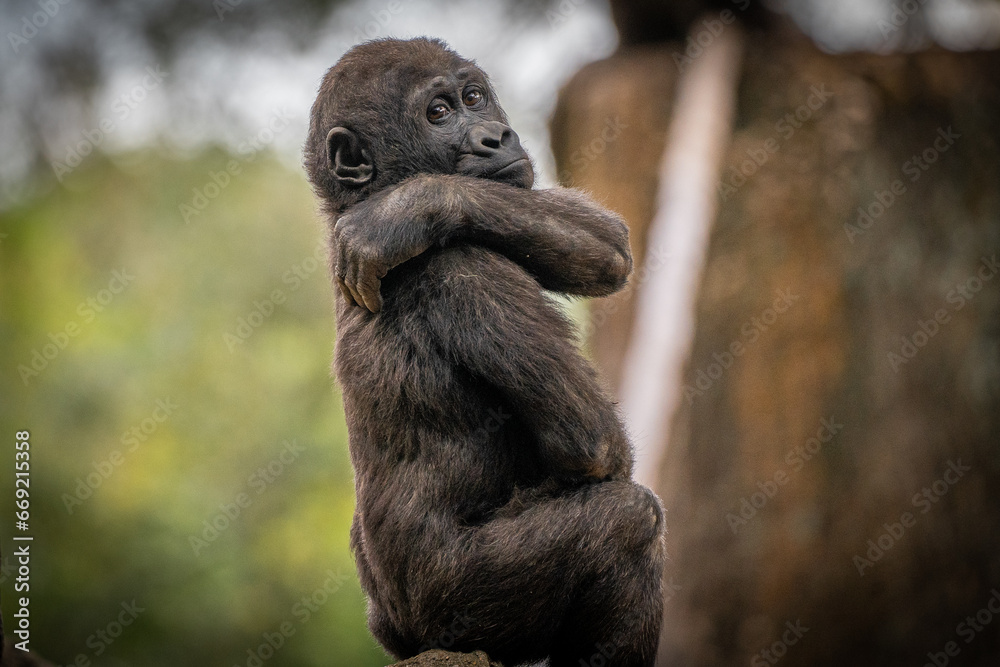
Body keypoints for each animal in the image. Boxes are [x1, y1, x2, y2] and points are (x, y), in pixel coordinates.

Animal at [304, 38, 665, 667]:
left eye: (474, 98)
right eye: (438, 113)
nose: (495, 135)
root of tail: (411, 637)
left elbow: (608, 243)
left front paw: (414, 207)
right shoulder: (467, 268)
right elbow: (593, 443)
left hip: (396, 628)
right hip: (461, 615)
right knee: (629, 518)